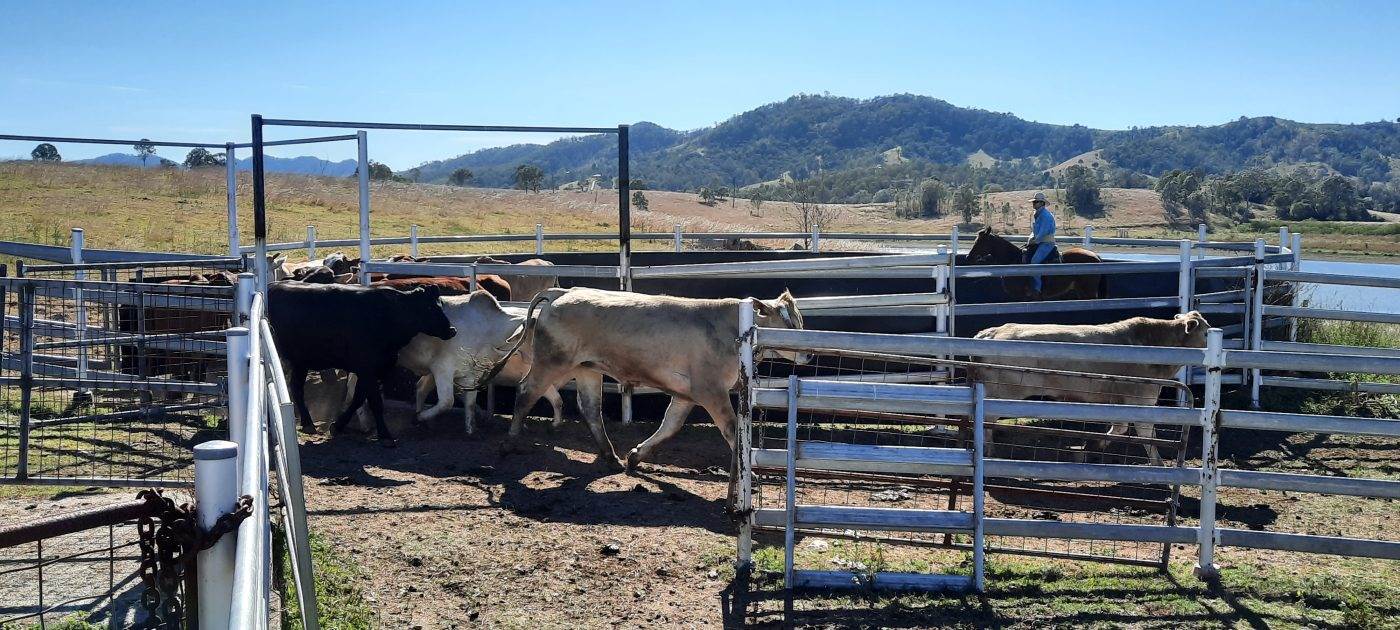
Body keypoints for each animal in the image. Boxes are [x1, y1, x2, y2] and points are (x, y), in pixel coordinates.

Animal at [266, 282, 453, 445]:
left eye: (440, 305)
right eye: (429, 308)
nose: (452, 330)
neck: (387, 315)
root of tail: (272, 285)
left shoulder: (374, 369)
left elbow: (358, 399)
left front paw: (338, 426)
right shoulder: (367, 368)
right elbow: (375, 402)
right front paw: (385, 436)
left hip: (301, 362)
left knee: (296, 388)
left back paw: (307, 423)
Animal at [963, 228, 1103, 301]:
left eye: (980, 242)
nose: (968, 257)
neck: (1015, 260)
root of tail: (1096, 257)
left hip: (1089, 292)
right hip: (1081, 291)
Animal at [968, 309, 1209, 462]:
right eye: (1206, 332)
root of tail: (989, 333)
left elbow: (1121, 429)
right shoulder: (1141, 402)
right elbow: (1146, 435)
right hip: (1002, 393)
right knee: (986, 419)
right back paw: (989, 451)